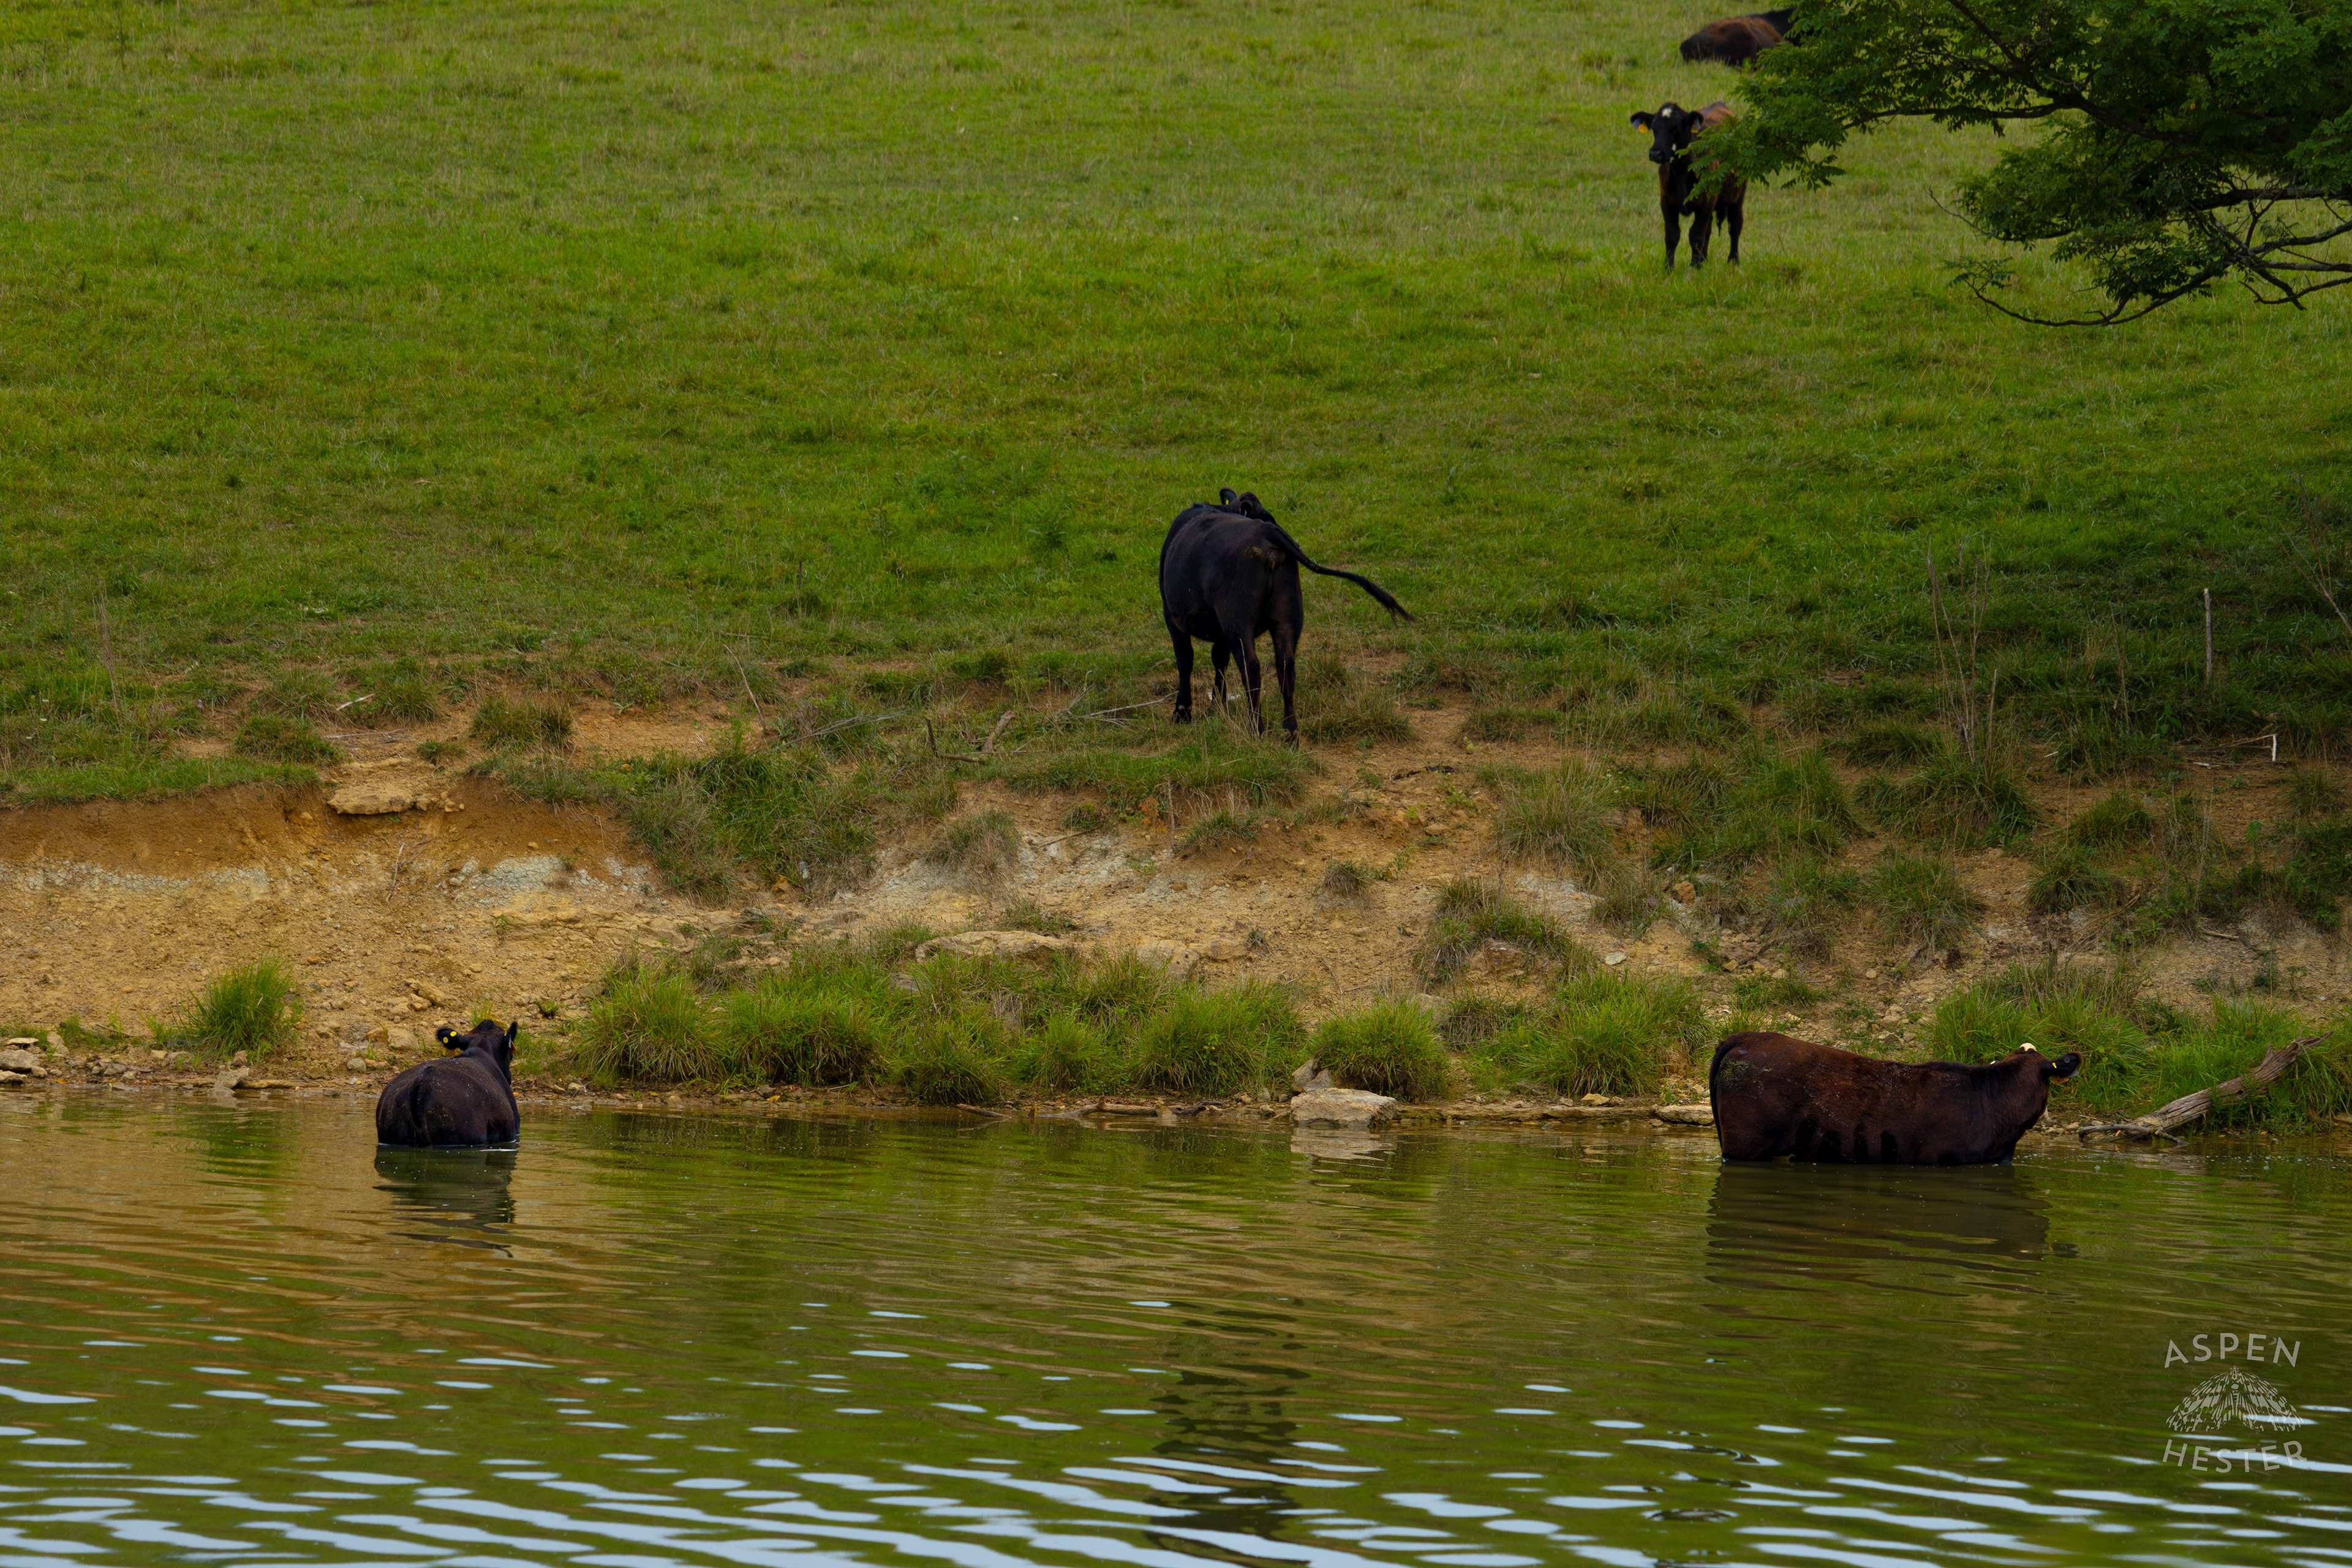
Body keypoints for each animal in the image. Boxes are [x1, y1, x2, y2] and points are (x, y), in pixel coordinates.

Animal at [1158, 488, 1411, 743]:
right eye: (1269, 515)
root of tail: (1266, 533)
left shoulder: (1173, 616)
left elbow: (1185, 659)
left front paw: (1182, 712)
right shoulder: (1220, 631)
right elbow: (1219, 660)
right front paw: (1216, 707)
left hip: (1239, 622)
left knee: (1251, 668)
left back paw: (1256, 730)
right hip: (1288, 617)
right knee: (1286, 665)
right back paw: (1290, 732)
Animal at [1629, 100, 1747, 269]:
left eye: (1676, 127)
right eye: (1654, 128)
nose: (1656, 154)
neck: (1681, 173)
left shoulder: (1706, 202)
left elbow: (1696, 235)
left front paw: (1695, 267)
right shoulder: (1667, 201)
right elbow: (1672, 235)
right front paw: (1670, 268)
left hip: (1738, 195)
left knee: (1735, 226)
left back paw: (1733, 261)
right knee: (1709, 231)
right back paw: (1704, 260)